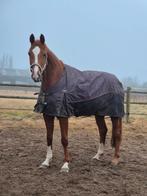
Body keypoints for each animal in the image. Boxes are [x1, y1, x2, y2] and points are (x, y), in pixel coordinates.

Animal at [28, 34, 123, 172]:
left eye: (44, 54)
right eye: (29, 53)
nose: (36, 75)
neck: (56, 81)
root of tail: (118, 81)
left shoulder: (63, 115)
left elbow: (64, 139)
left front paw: (65, 165)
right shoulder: (48, 114)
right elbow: (49, 137)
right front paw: (46, 162)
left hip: (115, 114)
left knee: (117, 133)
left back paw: (115, 160)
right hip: (99, 114)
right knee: (103, 130)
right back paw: (97, 156)